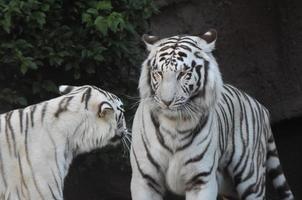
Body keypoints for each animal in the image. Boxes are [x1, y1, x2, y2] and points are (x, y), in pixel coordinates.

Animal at [130, 30, 294, 200]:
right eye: (158, 73)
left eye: (183, 73)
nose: (166, 102)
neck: (173, 124)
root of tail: (261, 107)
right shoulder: (145, 179)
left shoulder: (200, 179)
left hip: (251, 179)